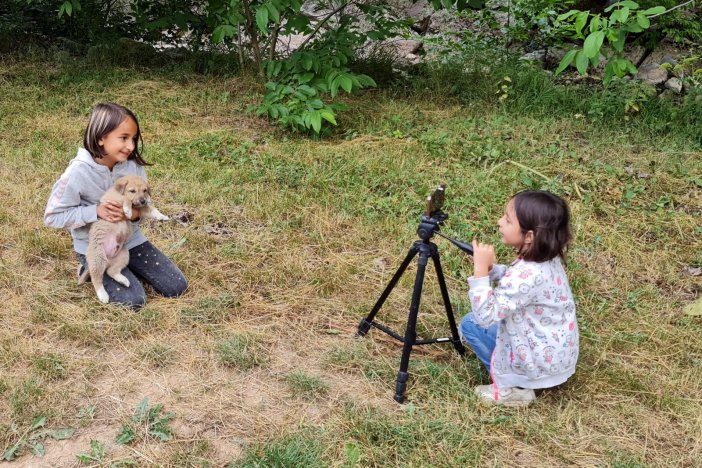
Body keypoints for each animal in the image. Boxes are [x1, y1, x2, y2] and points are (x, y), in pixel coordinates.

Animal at [78, 176, 170, 304]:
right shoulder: (112, 201)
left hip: (123, 256)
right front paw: (127, 210)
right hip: (98, 258)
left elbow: (152, 210)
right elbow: (127, 199)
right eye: (132, 191)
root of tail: (108, 259)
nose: (143, 200)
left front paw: (162, 216)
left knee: (111, 271)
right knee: (96, 278)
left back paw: (124, 281)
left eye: (145, 190)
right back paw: (103, 295)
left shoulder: (142, 209)